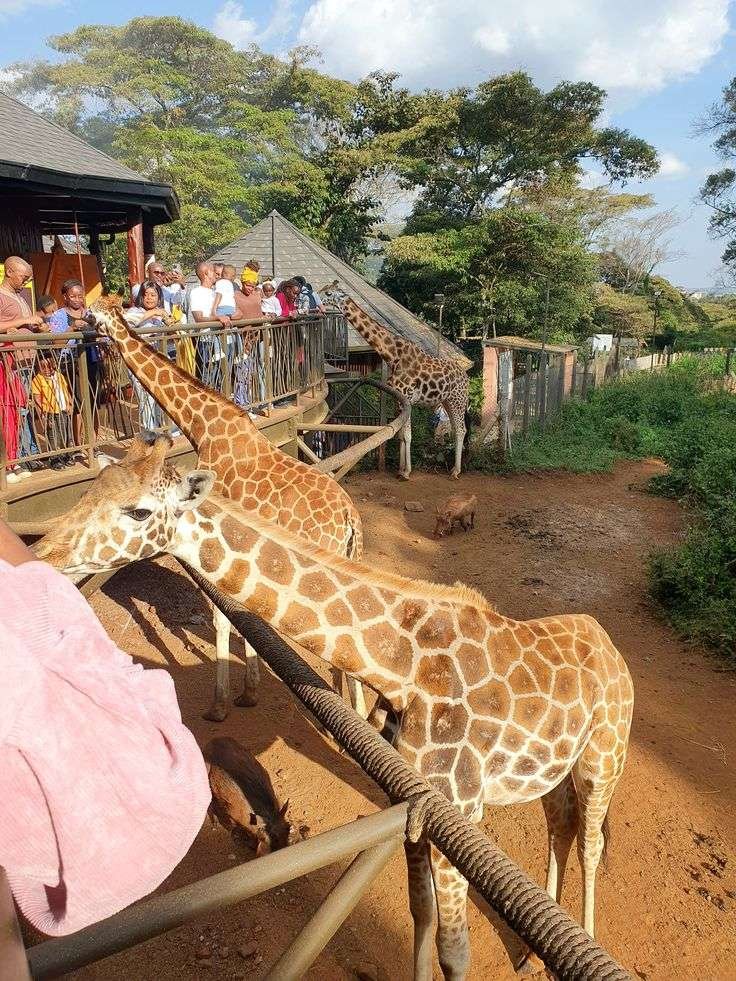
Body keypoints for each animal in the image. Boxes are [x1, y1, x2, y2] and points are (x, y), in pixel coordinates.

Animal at [35, 434, 634, 981]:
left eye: (138, 510)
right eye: (88, 490)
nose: (44, 556)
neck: (403, 663)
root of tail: (613, 652)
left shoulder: (461, 806)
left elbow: (455, 952)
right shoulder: (416, 804)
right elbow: (420, 914)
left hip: (603, 761)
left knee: (591, 843)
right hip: (554, 772)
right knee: (561, 828)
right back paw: (533, 954)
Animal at [83, 298, 367, 722]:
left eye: (96, 311)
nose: (84, 322)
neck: (203, 428)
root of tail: (351, 521)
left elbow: (223, 619)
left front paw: (220, 704)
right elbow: (247, 616)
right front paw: (250, 690)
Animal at [322, 284, 471, 479]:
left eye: (328, 293)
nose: (317, 298)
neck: (392, 355)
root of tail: (467, 378)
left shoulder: (406, 398)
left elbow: (407, 435)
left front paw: (406, 472)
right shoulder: (398, 399)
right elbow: (400, 434)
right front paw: (401, 469)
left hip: (457, 400)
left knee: (461, 430)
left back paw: (456, 471)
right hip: (446, 400)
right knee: (456, 429)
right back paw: (454, 467)